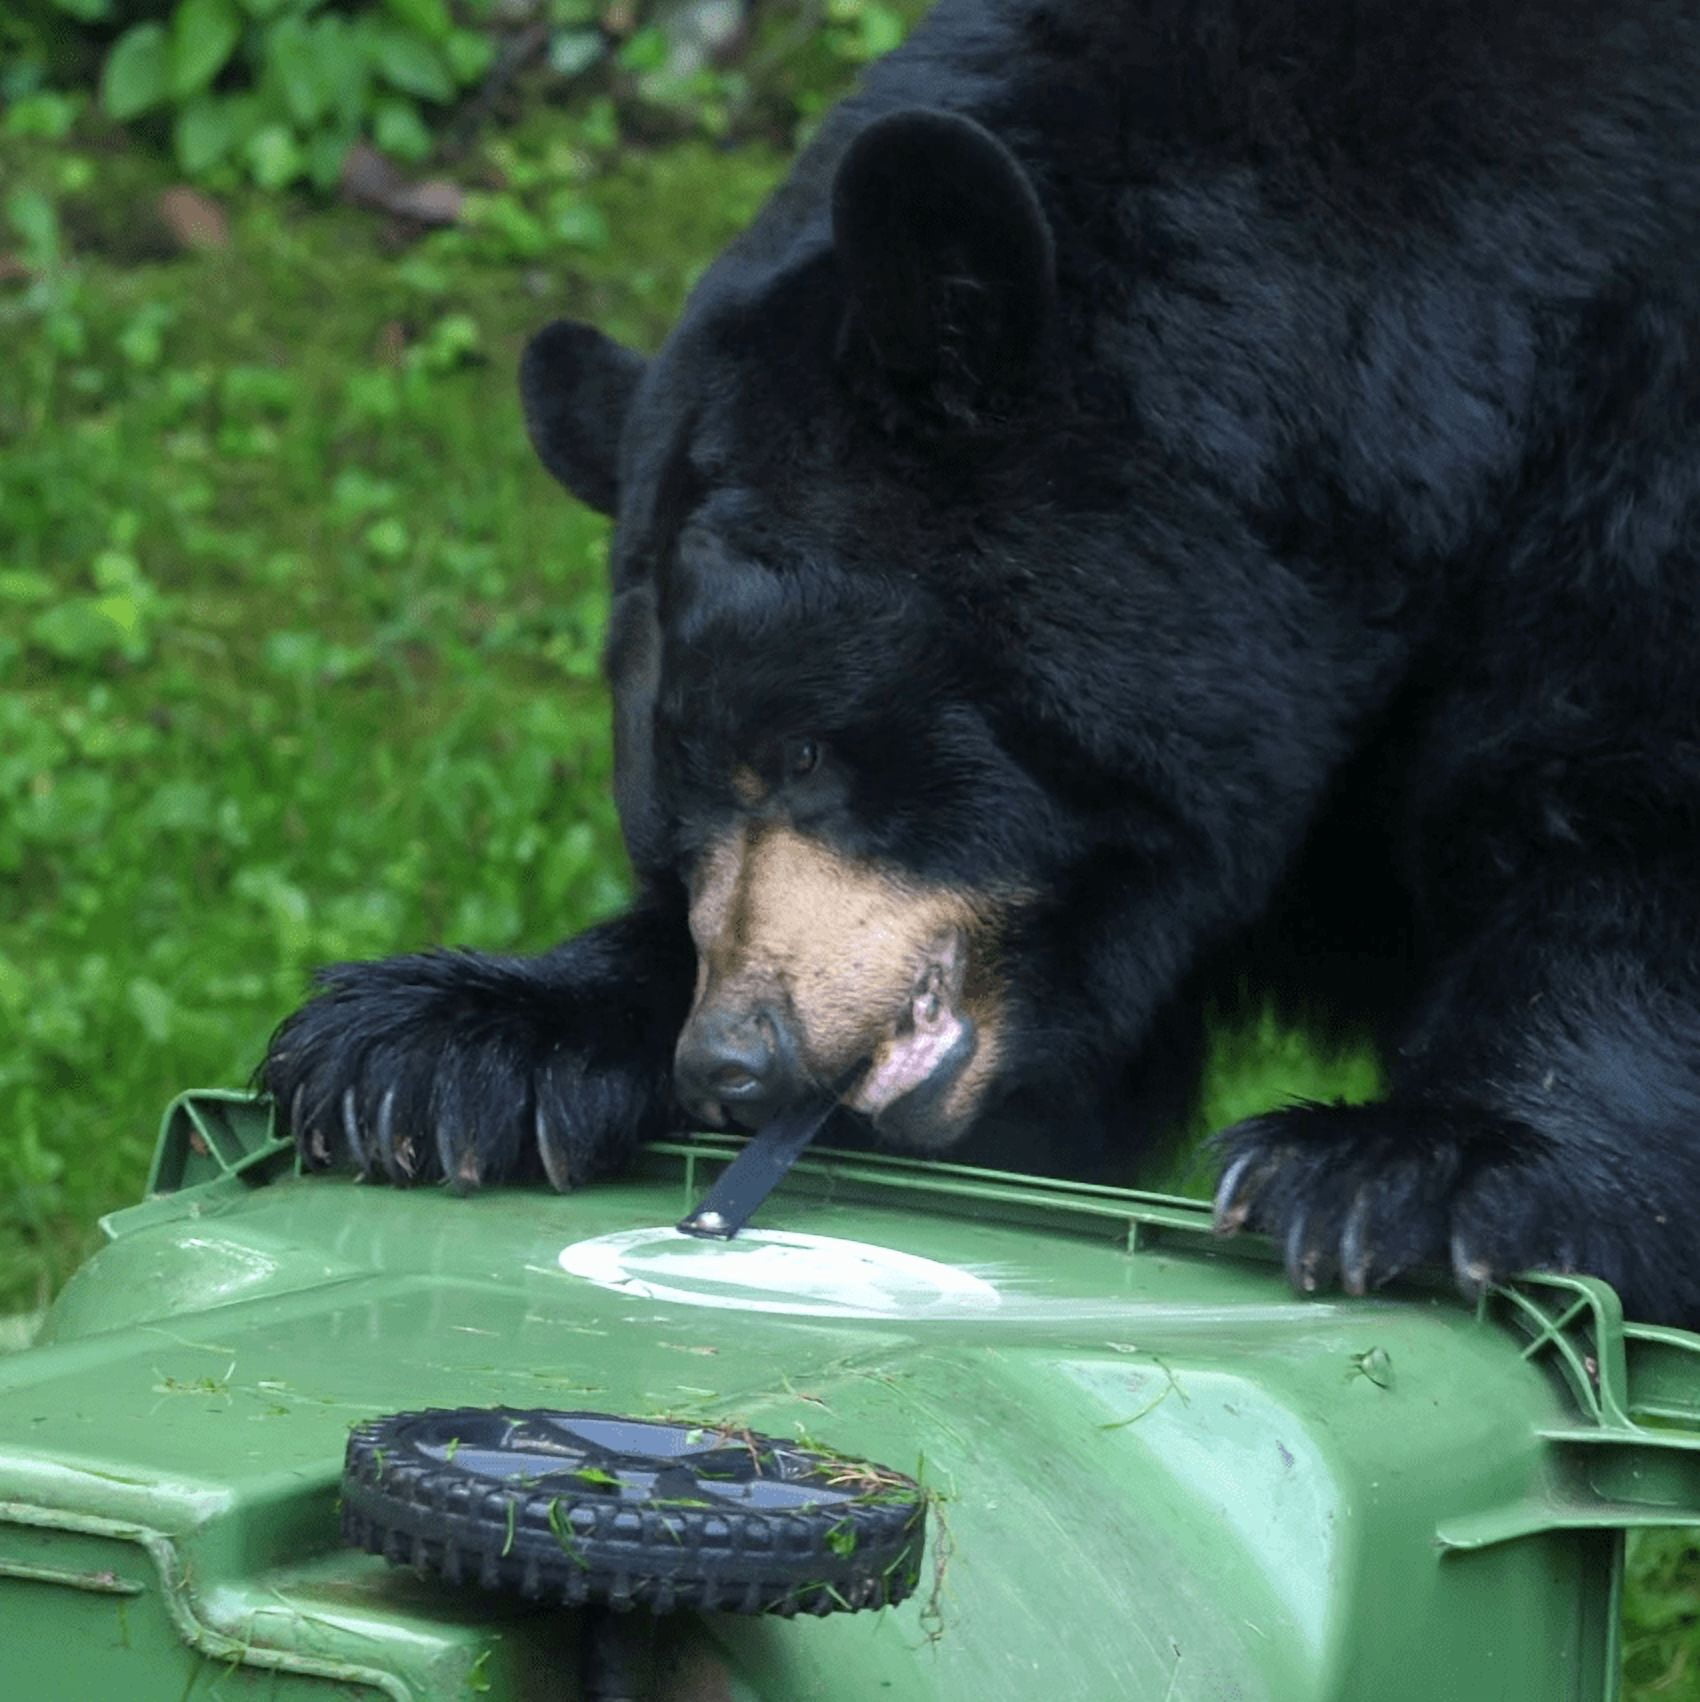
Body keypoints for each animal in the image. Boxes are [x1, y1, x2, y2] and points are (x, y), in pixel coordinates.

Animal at [262, 0, 1700, 1326]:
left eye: (798, 747)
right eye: (666, 812)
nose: (730, 1063)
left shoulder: (1629, 450)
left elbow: (1618, 815)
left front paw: (1403, 1169)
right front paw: (442, 1044)